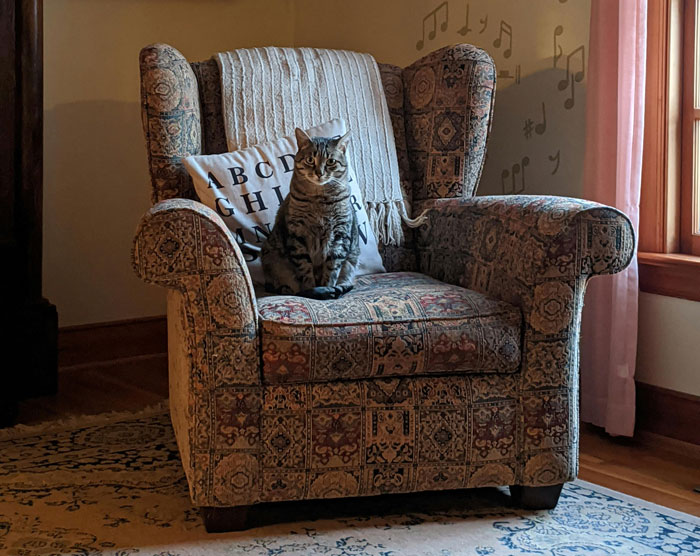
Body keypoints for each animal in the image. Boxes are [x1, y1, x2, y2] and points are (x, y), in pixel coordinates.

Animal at [262, 127, 360, 300]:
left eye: (331, 161)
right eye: (309, 160)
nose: (319, 173)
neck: (319, 200)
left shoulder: (340, 236)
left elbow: (331, 269)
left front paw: (327, 287)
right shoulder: (297, 235)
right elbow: (304, 269)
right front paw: (313, 289)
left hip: (351, 262)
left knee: (345, 280)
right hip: (271, 257)